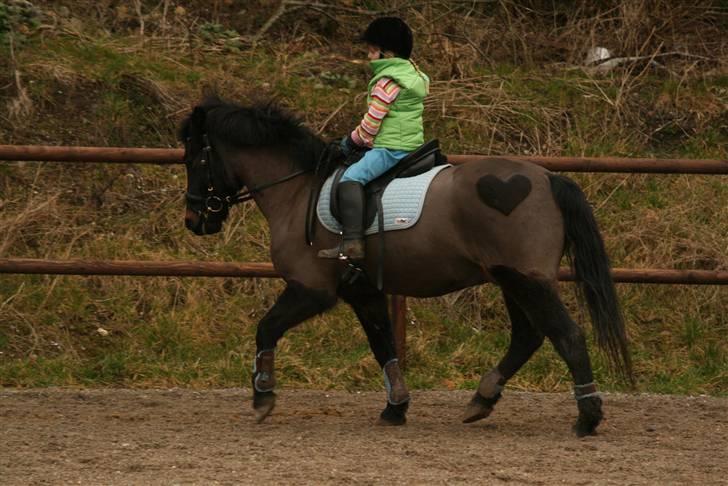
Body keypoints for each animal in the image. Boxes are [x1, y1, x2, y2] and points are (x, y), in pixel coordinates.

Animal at [178, 96, 632, 436]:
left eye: (194, 159)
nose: (195, 220)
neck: (297, 190)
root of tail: (547, 178)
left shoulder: (311, 289)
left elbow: (266, 328)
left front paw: (263, 396)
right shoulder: (363, 291)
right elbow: (384, 346)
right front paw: (396, 407)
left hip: (526, 280)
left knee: (566, 335)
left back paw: (587, 417)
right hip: (510, 280)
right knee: (528, 336)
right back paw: (482, 400)